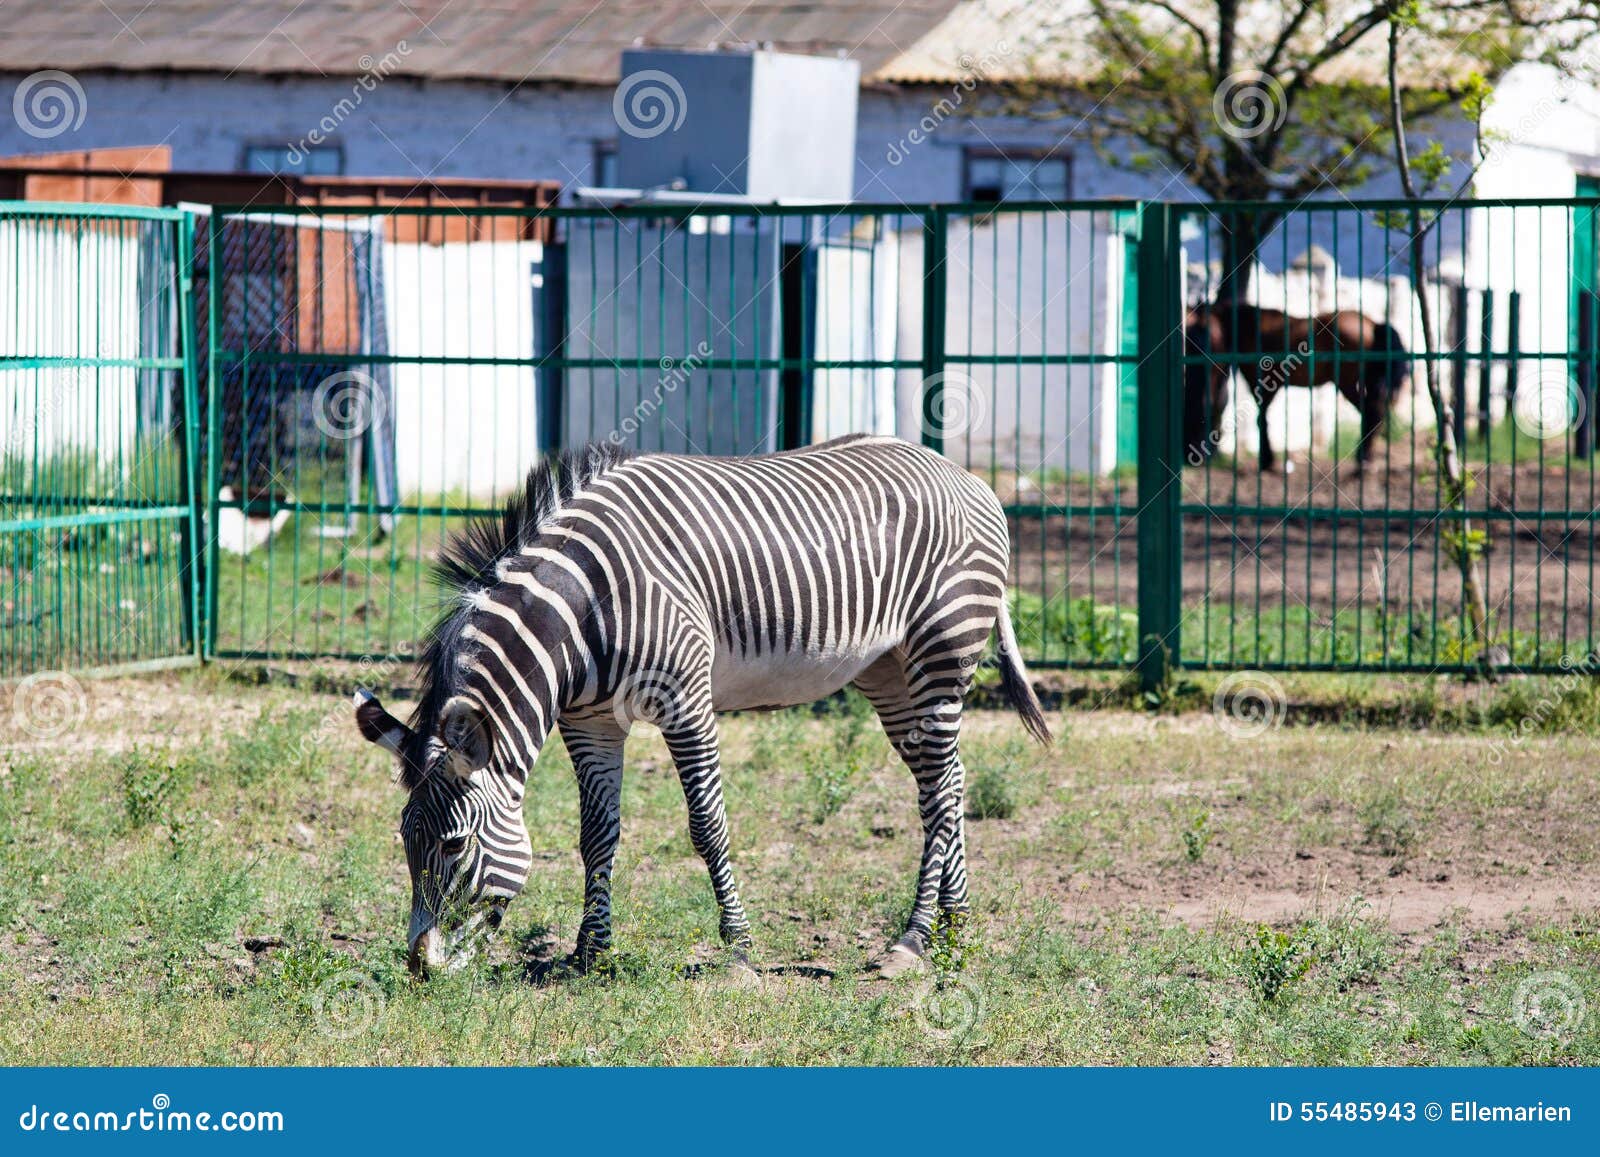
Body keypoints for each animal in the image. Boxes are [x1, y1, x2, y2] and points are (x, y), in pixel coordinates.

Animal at [356, 438, 1049, 979]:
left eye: (452, 845)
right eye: (404, 840)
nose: (420, 966)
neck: (581, 611)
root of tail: (960, 471)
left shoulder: (685, 699)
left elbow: (707, 823)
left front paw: (739, 950)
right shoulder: (591, 721)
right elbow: (596, 834)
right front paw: (591, 955)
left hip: (942, 650)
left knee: (940, 795)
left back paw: (912, 939)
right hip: (890, 671)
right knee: (946, 780)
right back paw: (954, 929)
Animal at [1184, 305, 1408, 476]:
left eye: (1200, 334)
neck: (1256, 329)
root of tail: (1373, 324)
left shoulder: (1261, 383)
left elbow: (1261, 419)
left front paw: (1266, 460)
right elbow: (1263, 418)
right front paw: (1267, 460)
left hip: (1346, 382)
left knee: (1372, 413)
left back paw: (1363, 461)